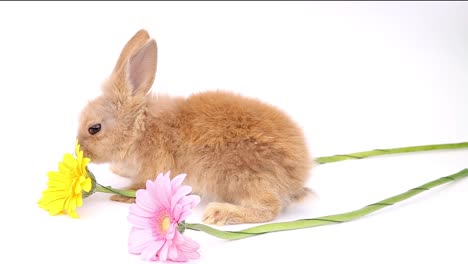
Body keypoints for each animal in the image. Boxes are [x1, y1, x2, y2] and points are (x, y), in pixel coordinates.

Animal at [77, 28, 312, 224]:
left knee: (269, 208)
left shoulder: (156, 167)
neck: (139, 128)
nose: (80, 151)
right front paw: (118, 171)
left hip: (243, 177)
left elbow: (142, 186)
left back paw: (219, 213)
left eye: (94, 128)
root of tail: (298, 174)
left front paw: (120, 195)